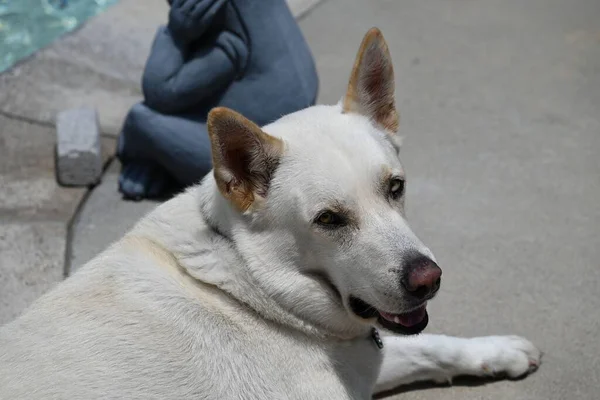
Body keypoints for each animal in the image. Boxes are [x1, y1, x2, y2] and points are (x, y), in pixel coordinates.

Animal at [0, 28, 540, 400]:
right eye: (328, 220)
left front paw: (498, 351)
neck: (250, 285)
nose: (428, 279)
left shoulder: (365, 358)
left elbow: (429, 345)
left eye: (395, 187)